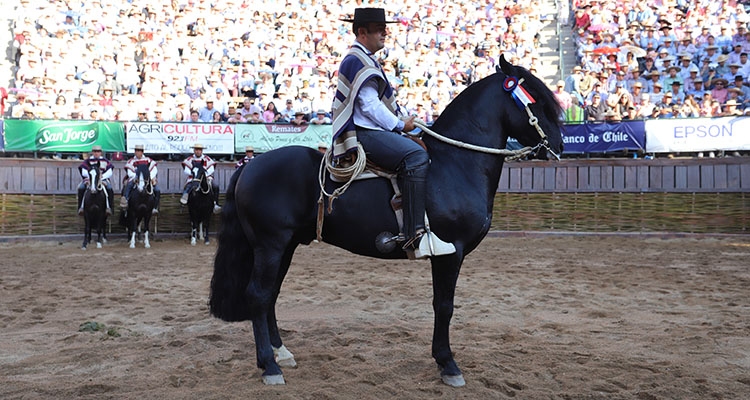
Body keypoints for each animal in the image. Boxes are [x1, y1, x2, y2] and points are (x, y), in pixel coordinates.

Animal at [209, 54, 560, 386]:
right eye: (539, 102)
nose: (557, 145)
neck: (455, 163)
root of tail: (250, 165)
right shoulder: (451, 251)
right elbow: (444, 305)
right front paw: (448, 364)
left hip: (285, 246)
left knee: (270, 295)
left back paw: (282, 353)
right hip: (270, 245)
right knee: (258, 296)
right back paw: (269, 366)